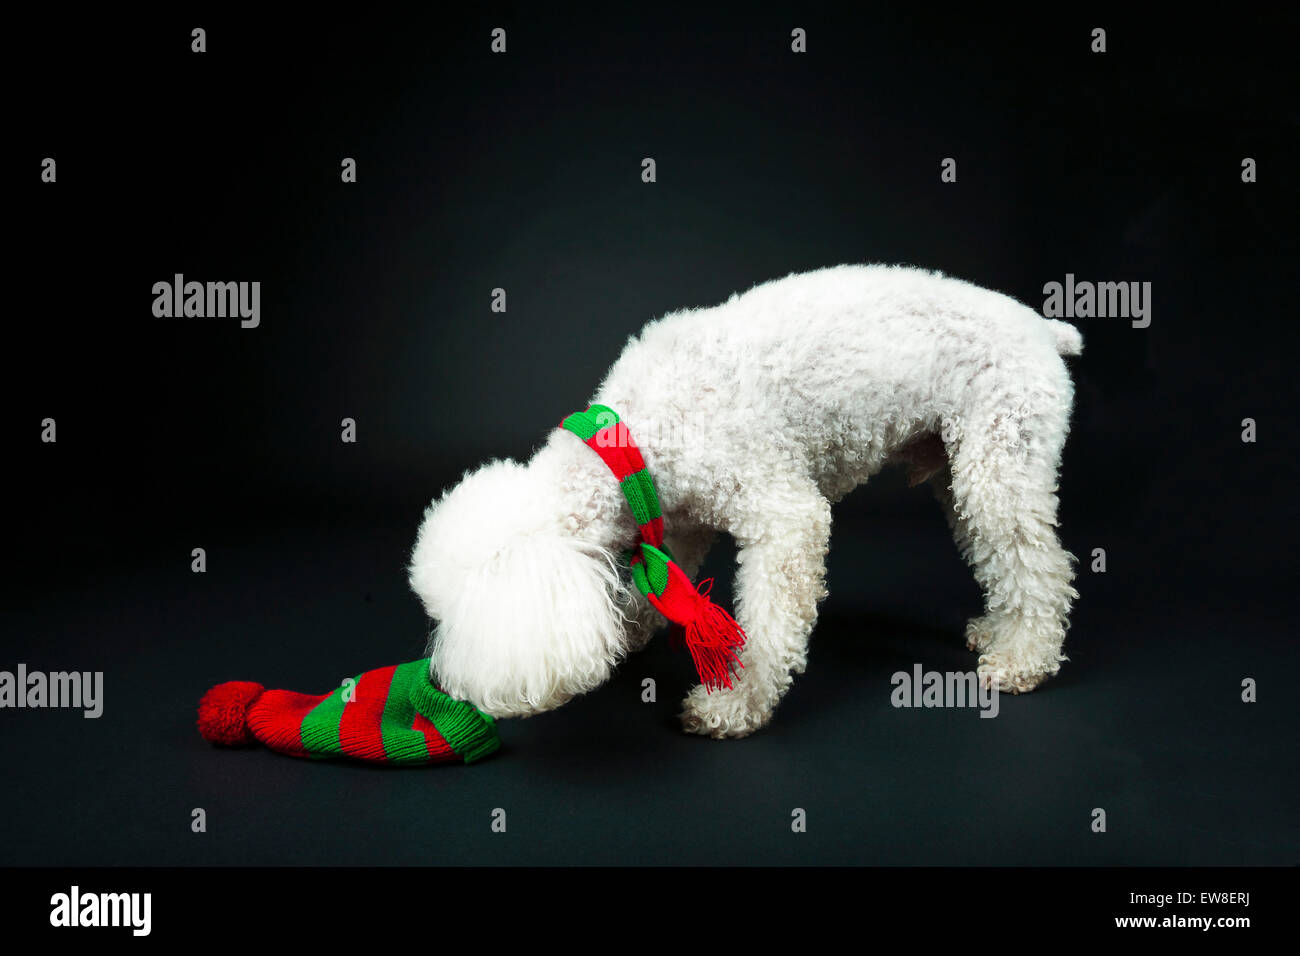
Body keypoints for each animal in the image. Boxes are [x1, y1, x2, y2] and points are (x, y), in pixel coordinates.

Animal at [410, 265, 1081, 743]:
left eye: (457, 621)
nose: (446, 687)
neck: (633, 439)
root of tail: (1041, 326)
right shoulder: (673, 520)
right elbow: (659, 583)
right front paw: (629, 629)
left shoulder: (785, 518)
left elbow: (766, 623)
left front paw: (733, 703)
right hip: (961, 465)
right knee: (1005, 559)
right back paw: (999, 629)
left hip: (1002, 459)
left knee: (1040, 567)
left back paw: (1024, 657)